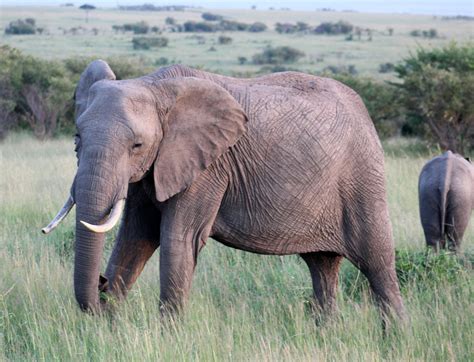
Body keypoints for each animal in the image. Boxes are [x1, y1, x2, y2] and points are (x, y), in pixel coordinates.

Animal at [42, 60, 408, 324]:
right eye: (76, 139)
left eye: (137, 145)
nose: (101, 284)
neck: (153, 85)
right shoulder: (154, 170)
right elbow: (137, 236)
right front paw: (108, 327)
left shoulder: (208, 167)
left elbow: (178, 238)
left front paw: (169, 336)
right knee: (323, 266)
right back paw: (326, 333)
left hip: (363, 175)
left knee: (377, 262)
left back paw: (395, 338)